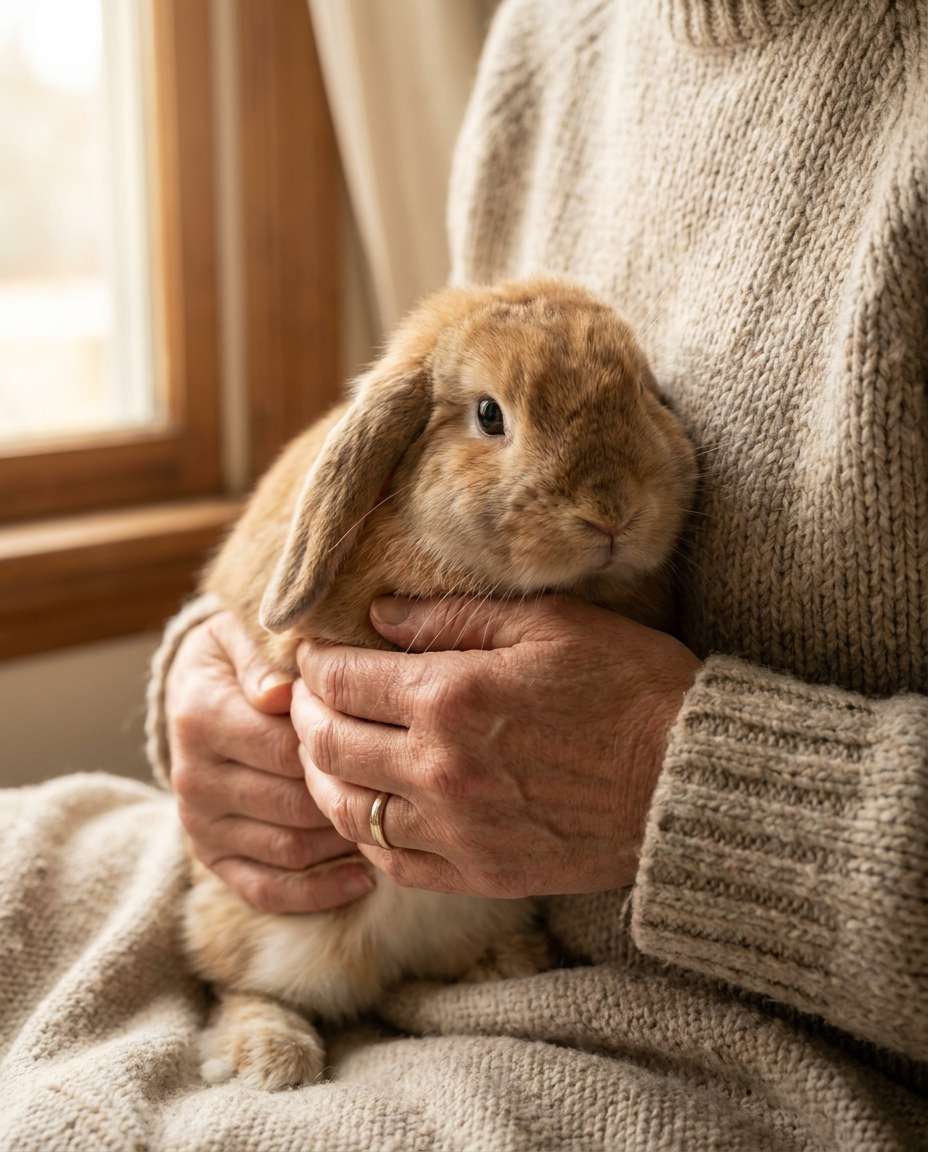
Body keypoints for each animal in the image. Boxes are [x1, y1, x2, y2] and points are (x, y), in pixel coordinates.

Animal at [183, 278, 697, 1090]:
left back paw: (509, 963)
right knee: (239, 984)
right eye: (490, 414)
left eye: (646, 396)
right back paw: (270, 1057)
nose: (613, 512)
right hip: (264, 921)